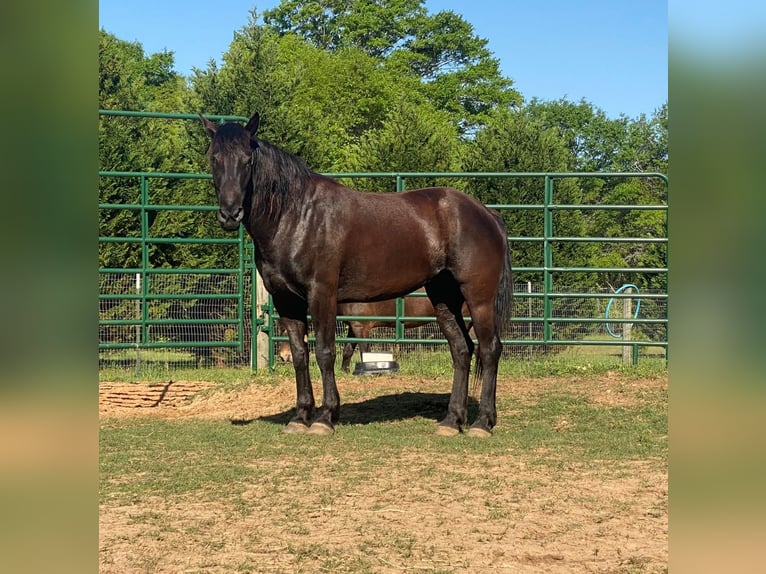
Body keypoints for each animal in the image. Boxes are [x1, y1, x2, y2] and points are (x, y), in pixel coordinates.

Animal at [276, 289, 473, 373]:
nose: (284, 357)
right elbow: (348, 350)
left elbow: (365, 352)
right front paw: (344, 371)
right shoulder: (353, 327)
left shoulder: (361, 328)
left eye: (286, 331)